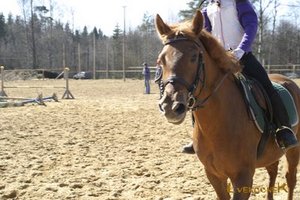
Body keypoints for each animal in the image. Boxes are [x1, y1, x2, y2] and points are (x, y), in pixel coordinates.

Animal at [155, 10, 300, 199]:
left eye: (194, 57)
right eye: (161, 60)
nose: (171, 107)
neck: (218, 124)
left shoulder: (243, 177)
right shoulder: (214, 175)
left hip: (294, 149)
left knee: (290, 178)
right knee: (273, 172)